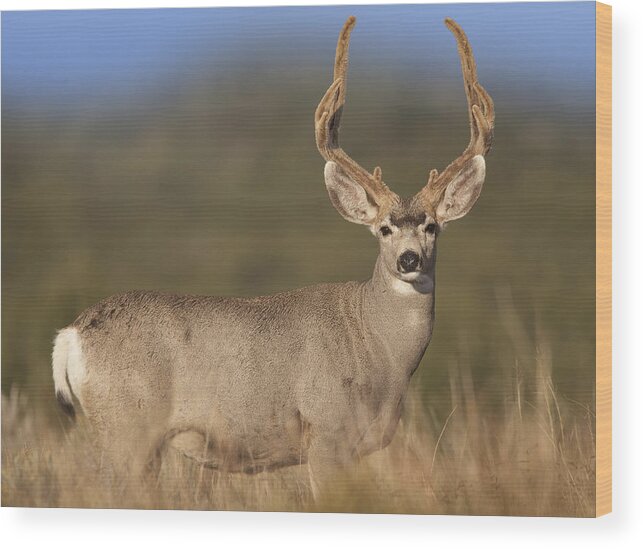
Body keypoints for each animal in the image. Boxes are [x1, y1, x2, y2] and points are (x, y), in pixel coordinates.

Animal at [52, 16, 496, 492]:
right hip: (128, 429)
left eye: (431, 227)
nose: (408, 259)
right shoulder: (326, 432)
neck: (379, 352)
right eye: (384, 229)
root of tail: (71, 335)